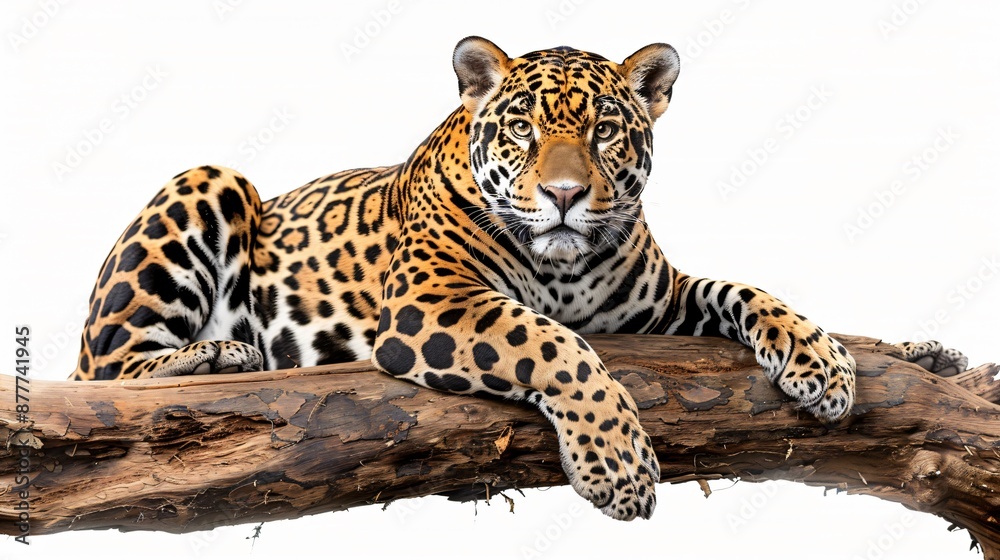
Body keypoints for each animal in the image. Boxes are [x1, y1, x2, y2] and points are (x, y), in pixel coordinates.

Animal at [70, 37, 968, 521]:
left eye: (605, 130)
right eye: (523, 129)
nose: (565, 195)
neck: (564, 265)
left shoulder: (657, 305)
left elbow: (744, 290)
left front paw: (823, 361)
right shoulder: (435, 303)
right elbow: (555, 345)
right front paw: (618, 468)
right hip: (210, 181)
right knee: (104, 374)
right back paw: (217, 357)